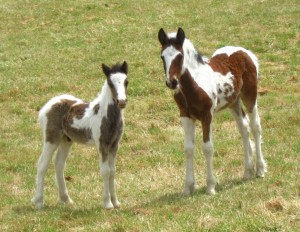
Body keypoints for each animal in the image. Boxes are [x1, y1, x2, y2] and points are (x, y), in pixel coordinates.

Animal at [31, 61, 129, 208]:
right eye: (110, 83)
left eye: (126, 82)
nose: (122, 101)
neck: (105, 116)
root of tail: (46, 106)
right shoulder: (102, 145)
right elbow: (105, 171)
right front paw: (107, 203)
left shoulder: (114, 145)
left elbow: (112, 171)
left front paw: (116, 202)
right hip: (51, 139)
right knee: (42, 164)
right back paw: (39, 202)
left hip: (66, 140)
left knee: (59, 164)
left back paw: (66, 199)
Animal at [158, 27, 266, 196]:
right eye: (162, 57)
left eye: (180, 56)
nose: (172, 82)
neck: (194, 85)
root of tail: (246, 52)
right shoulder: (185, 116)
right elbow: (188, 149)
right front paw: (188, 187)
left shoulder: (206, 116)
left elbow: (207, 148)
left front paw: (210, 186)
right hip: (233, 102)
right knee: (244, 128)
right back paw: (247, 171)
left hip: (250, 96)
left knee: (255, 127)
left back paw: (260, 169)